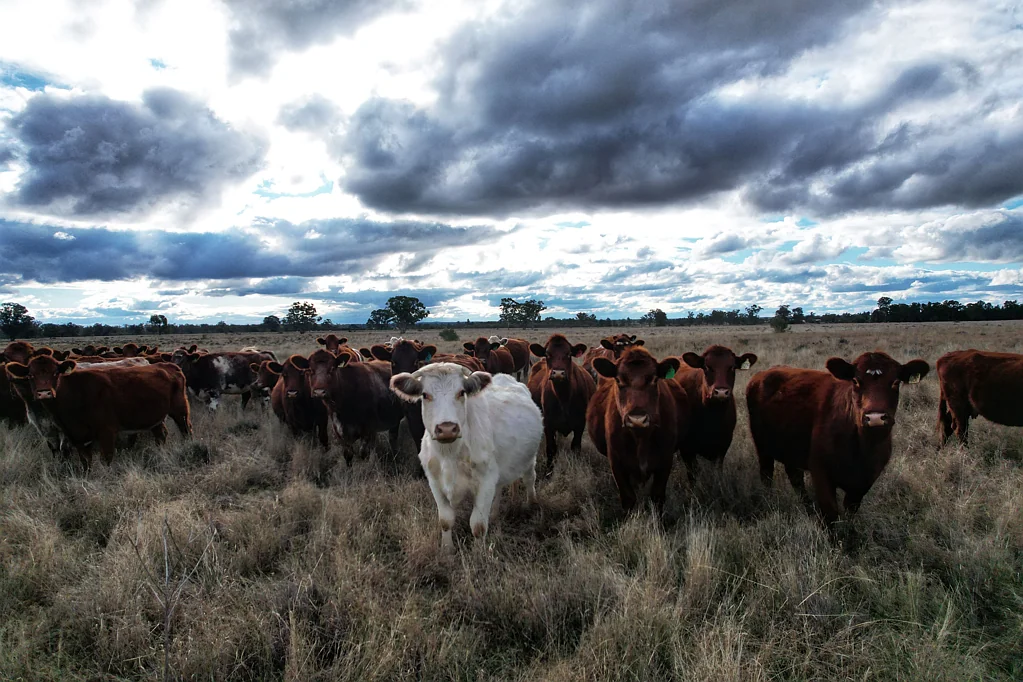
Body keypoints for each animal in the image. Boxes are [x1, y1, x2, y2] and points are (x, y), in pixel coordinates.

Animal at [5, 357, 191, 471]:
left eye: (55, 373)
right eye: (31, 375)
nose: (44, 393)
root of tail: (168, 365)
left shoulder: (106, 432)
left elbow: (106, 459)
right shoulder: (76, 436)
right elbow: (85, 462)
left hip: (180, 410)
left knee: (185, 430)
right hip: (154, 418)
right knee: (161, 435)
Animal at [390, 363, 543, 549]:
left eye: (461, 392)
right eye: (425, 395)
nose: (447, 428)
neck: (449, 454)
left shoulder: (485, 481)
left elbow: (478, 526)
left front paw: (479, 553)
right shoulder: (434, 482)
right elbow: (445, 520)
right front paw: (447, 550)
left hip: (529, 459)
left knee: (529, 478)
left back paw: (531, 504)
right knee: (499, 488)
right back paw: (494, 514)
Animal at [527, 335, 595, 470]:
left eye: (568, 354)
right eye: (548, 354)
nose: (558, 373)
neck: (564, 398)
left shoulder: (580, 424)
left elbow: (576, 447)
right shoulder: (548, 424)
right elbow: (551, 449)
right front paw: (549, 472)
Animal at [586, 347, 686, 513]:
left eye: (654, 379)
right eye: (619, 380)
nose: (637, 419)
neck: (641, 438)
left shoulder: (665, 461)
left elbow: (657, 496)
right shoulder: (617, 463)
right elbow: (628, 498)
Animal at [746, 352, 929, 526]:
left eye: (896, 382)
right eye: (855, 381)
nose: (875, 417)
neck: (863, 448)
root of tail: (762, 374)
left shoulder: (866, 479)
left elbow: (850, 511)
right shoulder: (821, 472)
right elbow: (831, 514)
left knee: (795, 477)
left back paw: (808, 508)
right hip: (762, 447)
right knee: (767, 474)